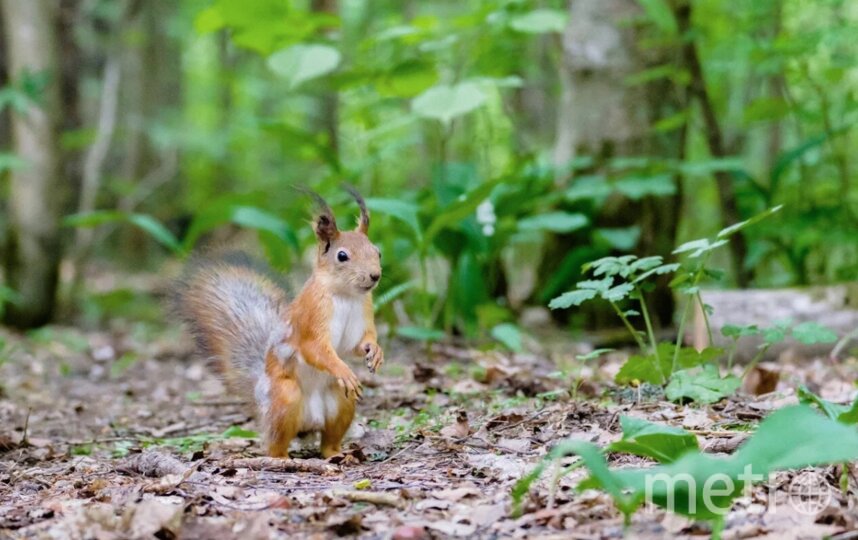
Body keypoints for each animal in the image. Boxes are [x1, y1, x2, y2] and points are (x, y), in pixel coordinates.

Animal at [174, 188, 382, 458]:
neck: (345, 295)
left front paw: (375, 351)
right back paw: (282, 459)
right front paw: (343, 369)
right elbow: (315, 348)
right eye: (342, 256)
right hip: (285, 398)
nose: (375, 276)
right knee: (275, 443)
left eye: (377, 251)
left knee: (328, 440)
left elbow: (358, 344)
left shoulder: (363, 310)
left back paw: (336, 453)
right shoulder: (311, 315)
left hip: (342, 401)